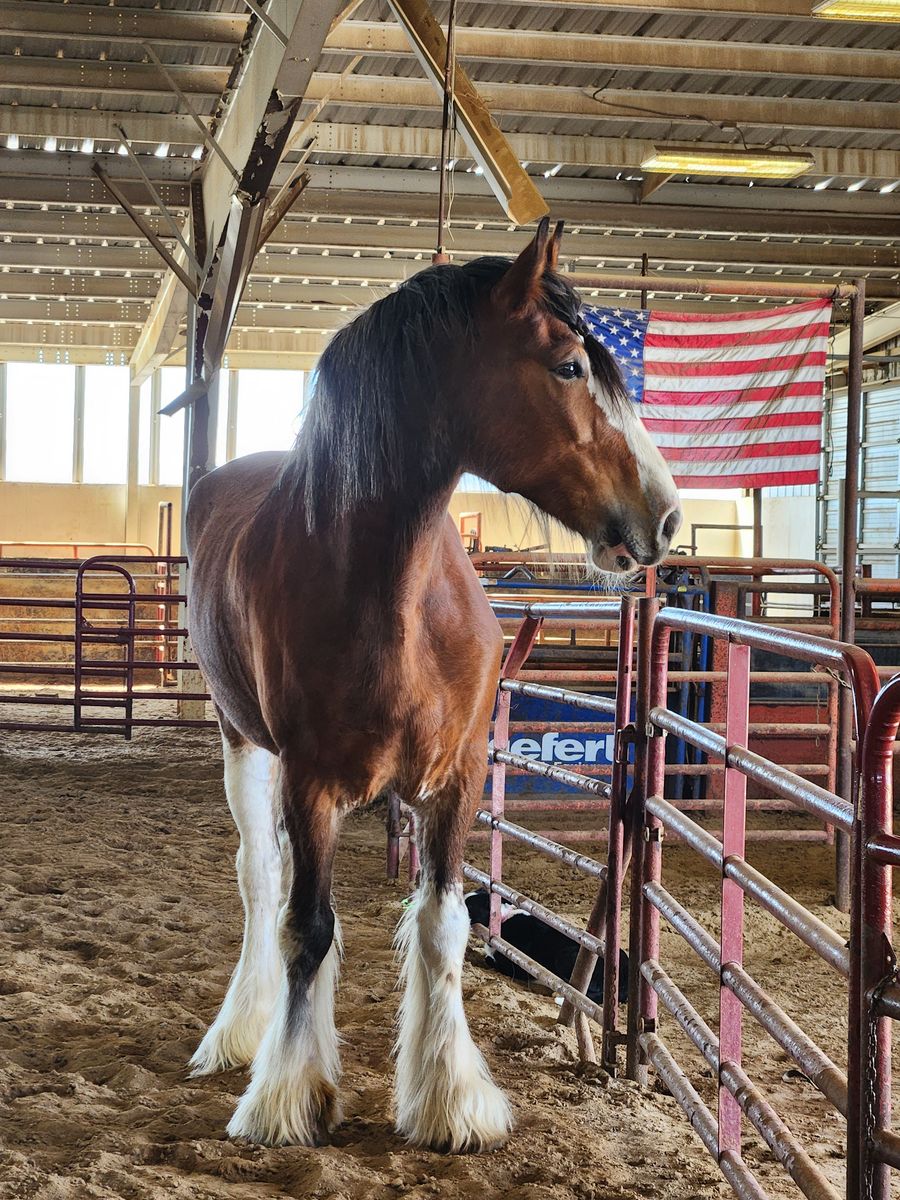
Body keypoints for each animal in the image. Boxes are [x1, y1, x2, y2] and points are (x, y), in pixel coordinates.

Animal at [184, 217, 681, 1153]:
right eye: (568, 365)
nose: (665, 517)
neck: (392, 594)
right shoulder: (310, 784)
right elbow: (306, 926)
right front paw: (289, 1097)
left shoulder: (456, 780)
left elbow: (443, 925)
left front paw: (450, 1101)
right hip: (243, 746)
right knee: (261, 881)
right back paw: (238, 1033)